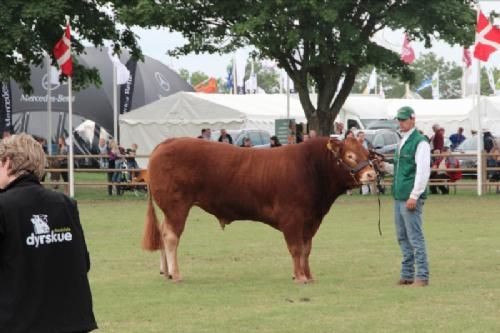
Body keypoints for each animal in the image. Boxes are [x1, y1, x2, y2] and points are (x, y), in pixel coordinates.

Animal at [143, 136, 376, 282]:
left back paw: (166, 272)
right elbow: (296, 248)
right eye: (350, 156)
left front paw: (308, 275)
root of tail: (167, 142)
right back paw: (176, 274)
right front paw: (300, 277)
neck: (312, 168)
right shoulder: (292, 217)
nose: (371, 174)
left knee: (162, 233)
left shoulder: (310, 220)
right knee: (171, 236)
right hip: (177, 205)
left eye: (367, 153)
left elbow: (306, 249)